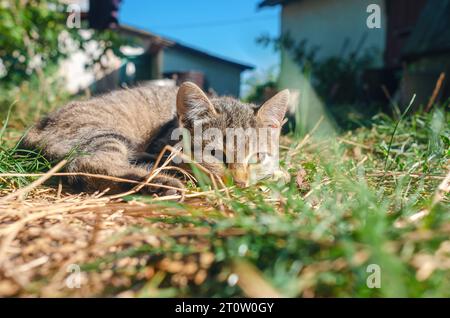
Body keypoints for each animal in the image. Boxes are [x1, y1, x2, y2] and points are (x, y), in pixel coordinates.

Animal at [23, 82, 292, 195]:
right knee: (89, 165)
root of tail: (36, 127)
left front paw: (278, 174)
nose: (240, 183)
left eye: (258, 157)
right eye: (215, 154)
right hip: (105, 134)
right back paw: (159, 182)